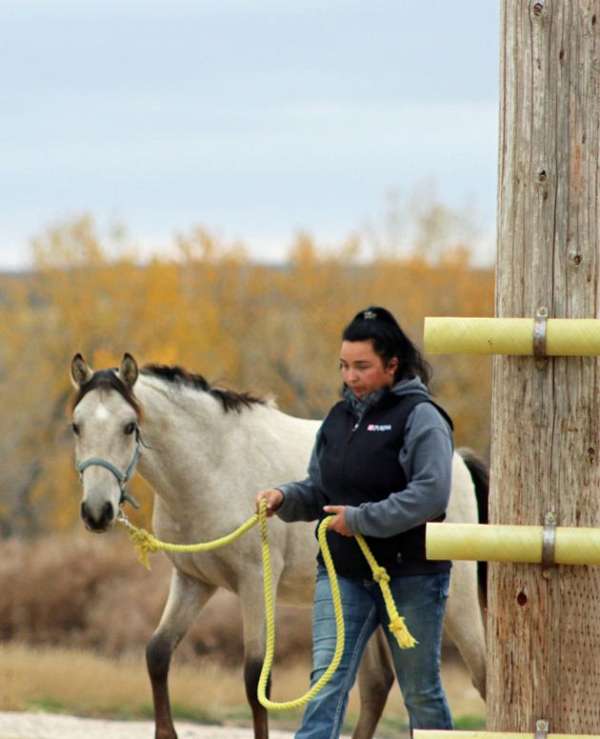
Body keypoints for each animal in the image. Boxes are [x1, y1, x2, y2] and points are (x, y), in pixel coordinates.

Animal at [69, 352, 488, 739]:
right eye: (76, 426)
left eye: (129, 427)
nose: (97, 511)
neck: (215, 464)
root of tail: (457, 460)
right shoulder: (192, 581)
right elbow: (157, 654)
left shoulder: (256, 584)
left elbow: (256, 680)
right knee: (376, 684)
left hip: (457, 603)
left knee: (482, 673)